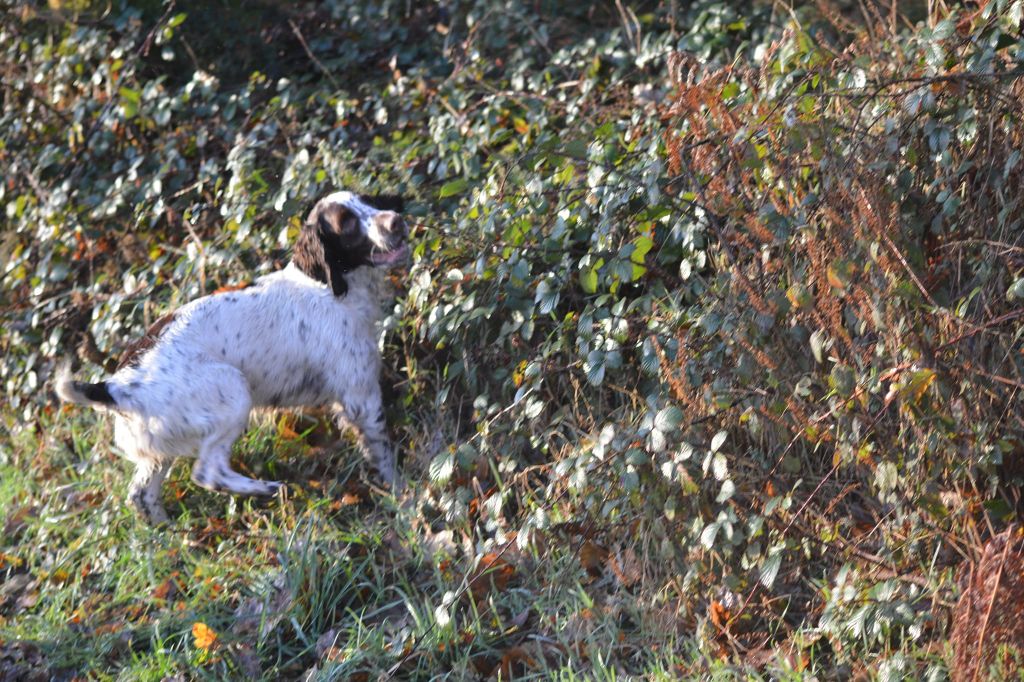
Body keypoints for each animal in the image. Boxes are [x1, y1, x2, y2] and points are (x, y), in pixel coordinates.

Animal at [56, 189, 407, 520]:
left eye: (368, 202)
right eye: (346, 224)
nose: (396, 221)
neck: (325, 286)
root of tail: (113, 385)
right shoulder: (360, 395)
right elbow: (384, 453)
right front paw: (401, 494)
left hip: (161, 448)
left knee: (140, 494)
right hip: (233, 391)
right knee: (207, 472)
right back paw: (269, 488)